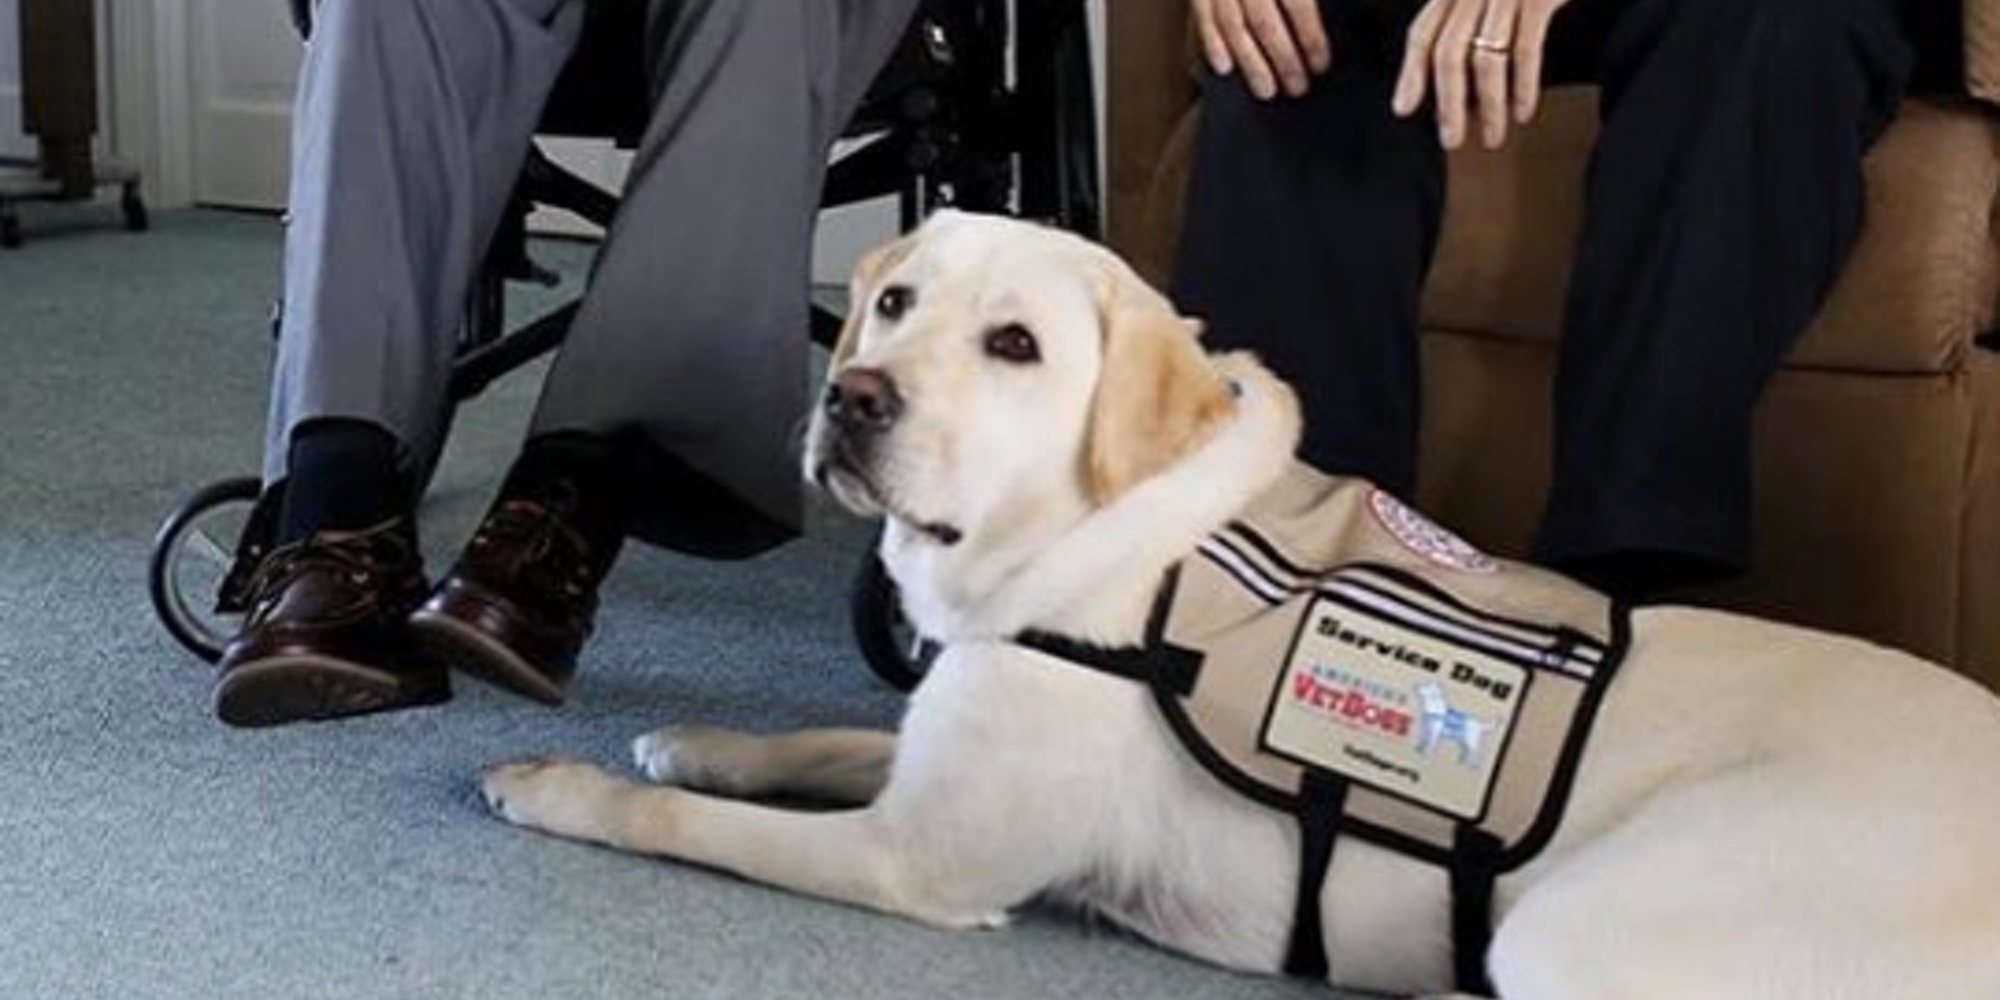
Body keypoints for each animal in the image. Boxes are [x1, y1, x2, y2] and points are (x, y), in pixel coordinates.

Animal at [480, 213, 2000, 1000]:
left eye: (1016, 345)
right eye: (896, 302)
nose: (854, 398)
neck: (1093, 536)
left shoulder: (920, 860)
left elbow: (679, 823)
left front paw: (559, 784)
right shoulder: (952, 738)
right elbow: (820, 736)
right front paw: (700, 742)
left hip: (1579, 927)